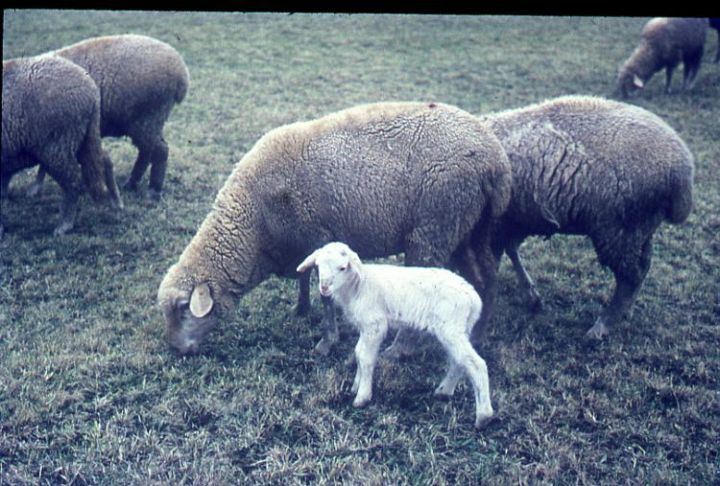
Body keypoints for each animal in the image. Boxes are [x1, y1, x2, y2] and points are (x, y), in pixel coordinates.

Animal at [1, 55, 122, 237]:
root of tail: (90, 88)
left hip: (57, 147)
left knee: (73, 183)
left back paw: (64, 225)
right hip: (85, 138)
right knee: (104, 161)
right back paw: (116, 203)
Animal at [29, 34, 190, 199]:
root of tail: (181, 72)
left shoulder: (51, 135)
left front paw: (36, 188)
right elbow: (44, 165)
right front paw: (36, 188)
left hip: (146, 119)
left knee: (160, 150)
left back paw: (153, 190)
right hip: (150, 121)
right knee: (146, 151)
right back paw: (131, 183)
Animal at [156, 100, 512, 356]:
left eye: (182, 310)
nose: (176, 349)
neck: (255, 224)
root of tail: (495, 160)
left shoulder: (318, 237)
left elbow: (324, 295)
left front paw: (326, 342)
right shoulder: (301, 243)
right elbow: (302, 279)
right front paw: (301, 310)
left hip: (435, 227)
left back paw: (399, 350)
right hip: (470, 227)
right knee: (487, 277)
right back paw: (479, 335)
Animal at [296, 241, 492, 428]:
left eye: (343, 268)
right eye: (318, 265)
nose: (324, 288)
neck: (357, 286)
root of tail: (474, 298)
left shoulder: (375, 324)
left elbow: (365, 357)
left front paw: (362, 397)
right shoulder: (365, 327)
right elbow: (359, 353)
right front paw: (356, 386)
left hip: (451, 327)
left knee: (476, 363)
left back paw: (484, 416)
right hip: (459, 329)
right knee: (459, 361)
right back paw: (444, 392)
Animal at [470, 93, 696, 340]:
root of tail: (683, 173)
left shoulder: (498, 225)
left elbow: (494, 263)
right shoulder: (516, 220)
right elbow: (510, 251)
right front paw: (532, 296)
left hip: (618, 231)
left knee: (630, 277)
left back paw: (602, 325)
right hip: (641, 228)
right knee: (644, 266)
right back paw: (625, 311)